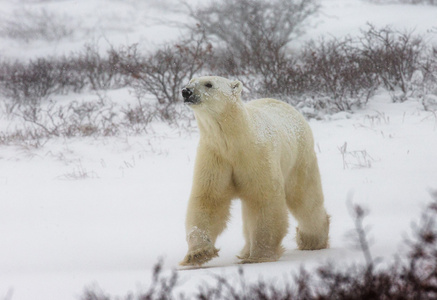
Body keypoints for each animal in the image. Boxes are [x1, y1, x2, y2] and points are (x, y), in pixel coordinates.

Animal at [180, 75, 328, 264]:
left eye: (208, 84)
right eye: (190, 81)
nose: (186, 91)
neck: (234, 140)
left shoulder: (256, 156)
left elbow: (263, 199)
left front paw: (259, 256)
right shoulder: (215, 156)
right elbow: (209, 199)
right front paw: (198, 253)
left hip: (299, 159)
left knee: (305, 198)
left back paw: (312, 240)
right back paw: (244, 251)